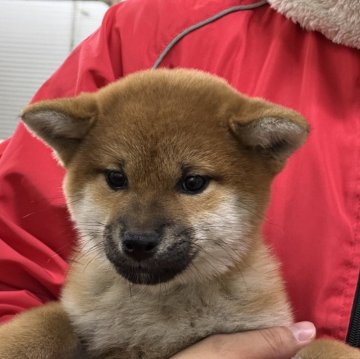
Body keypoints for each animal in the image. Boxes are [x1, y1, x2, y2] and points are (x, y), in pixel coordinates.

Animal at [0, 69, 358, 359]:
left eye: (193, 182)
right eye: (116, 178)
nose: (138, 241)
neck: (157, 314)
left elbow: (322, 348)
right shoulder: (80, 321)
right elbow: (48, 322)